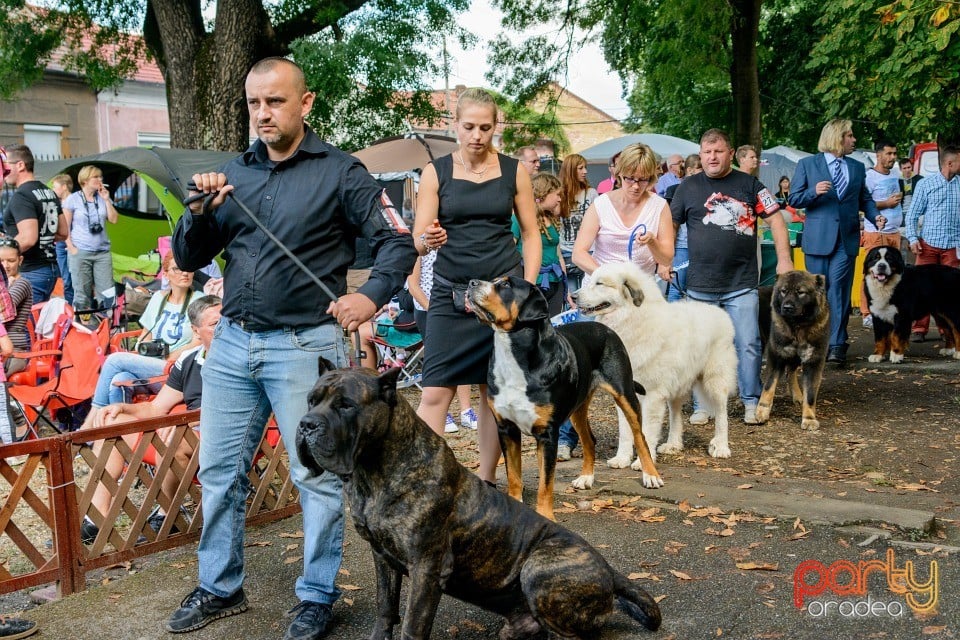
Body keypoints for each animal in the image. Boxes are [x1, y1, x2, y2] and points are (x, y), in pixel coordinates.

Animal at [296, 360, 664, 640]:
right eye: (311, 401)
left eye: (346, 405)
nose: (306, 424)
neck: (372, 471)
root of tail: (610, 570)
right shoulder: (382, 558)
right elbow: (386, 609)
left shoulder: (426, 568)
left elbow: (413, 625)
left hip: (539, 567)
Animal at [464, 276, 660, 520]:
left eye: (506, 285)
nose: (471, 282)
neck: (515, 358)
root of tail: (603, 326)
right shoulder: (507, 429)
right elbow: (514, 476)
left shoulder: (548, 433)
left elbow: (545, 484)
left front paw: (546, 516)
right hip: (576, 409)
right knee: (589, 440)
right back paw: (586, 478)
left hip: (625, 393)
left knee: (640, 436)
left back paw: (650, 475)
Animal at [572, 262, 740, 468]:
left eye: (600, 283)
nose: (572, 297)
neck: (633, 319)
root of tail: (718, 311)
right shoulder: (624, 392)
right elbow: (626, 431)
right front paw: (622, 459)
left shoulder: (652, 395)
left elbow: (648, 431)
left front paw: (643, 462)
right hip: (677, 383)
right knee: (675, 414)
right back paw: (673, 445)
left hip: (715, 380)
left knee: (722, 412)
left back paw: (722, 447)